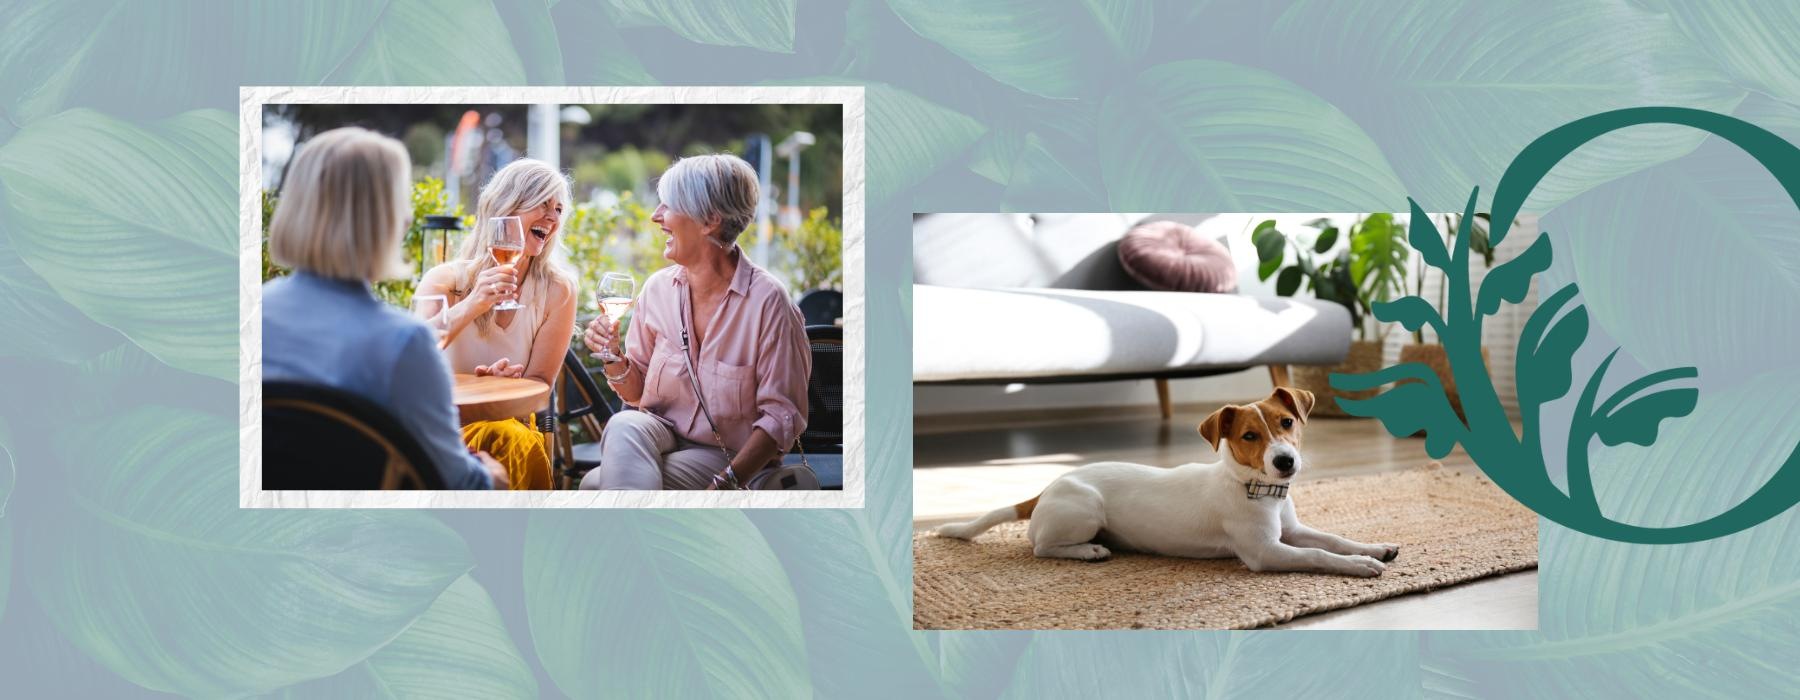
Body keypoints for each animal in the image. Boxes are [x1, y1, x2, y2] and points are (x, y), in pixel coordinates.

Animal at [936, 385, 1396, 575]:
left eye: (1287, 422)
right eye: (1249, 436)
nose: (1285, 462)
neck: (1256, 488)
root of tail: (1048, 487)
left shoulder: (1293, 531)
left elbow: (1332, 539)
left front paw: (1375, 548)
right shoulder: (1266, 553)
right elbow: (1319, 554)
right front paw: (1361, 565)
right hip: (1085, 511)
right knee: (1041, 547)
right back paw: (1088, 552)